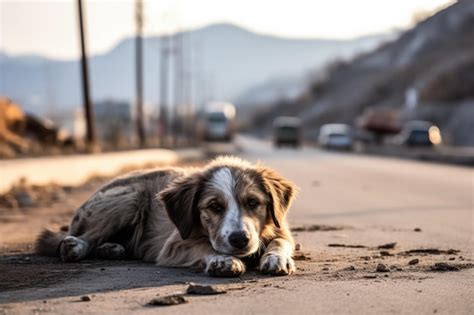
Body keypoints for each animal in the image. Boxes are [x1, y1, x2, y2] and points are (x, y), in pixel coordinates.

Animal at [36, 157, 296, 278]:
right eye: (214, 206)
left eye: (252, 203)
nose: (240, 239)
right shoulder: (175, 243)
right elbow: (203, 246)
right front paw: (222, 260)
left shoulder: (282, 229)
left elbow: (281, 241)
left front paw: (277, 258)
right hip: (132, 197)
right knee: (83, 236)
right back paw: (75, 245)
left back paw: (112, 249)